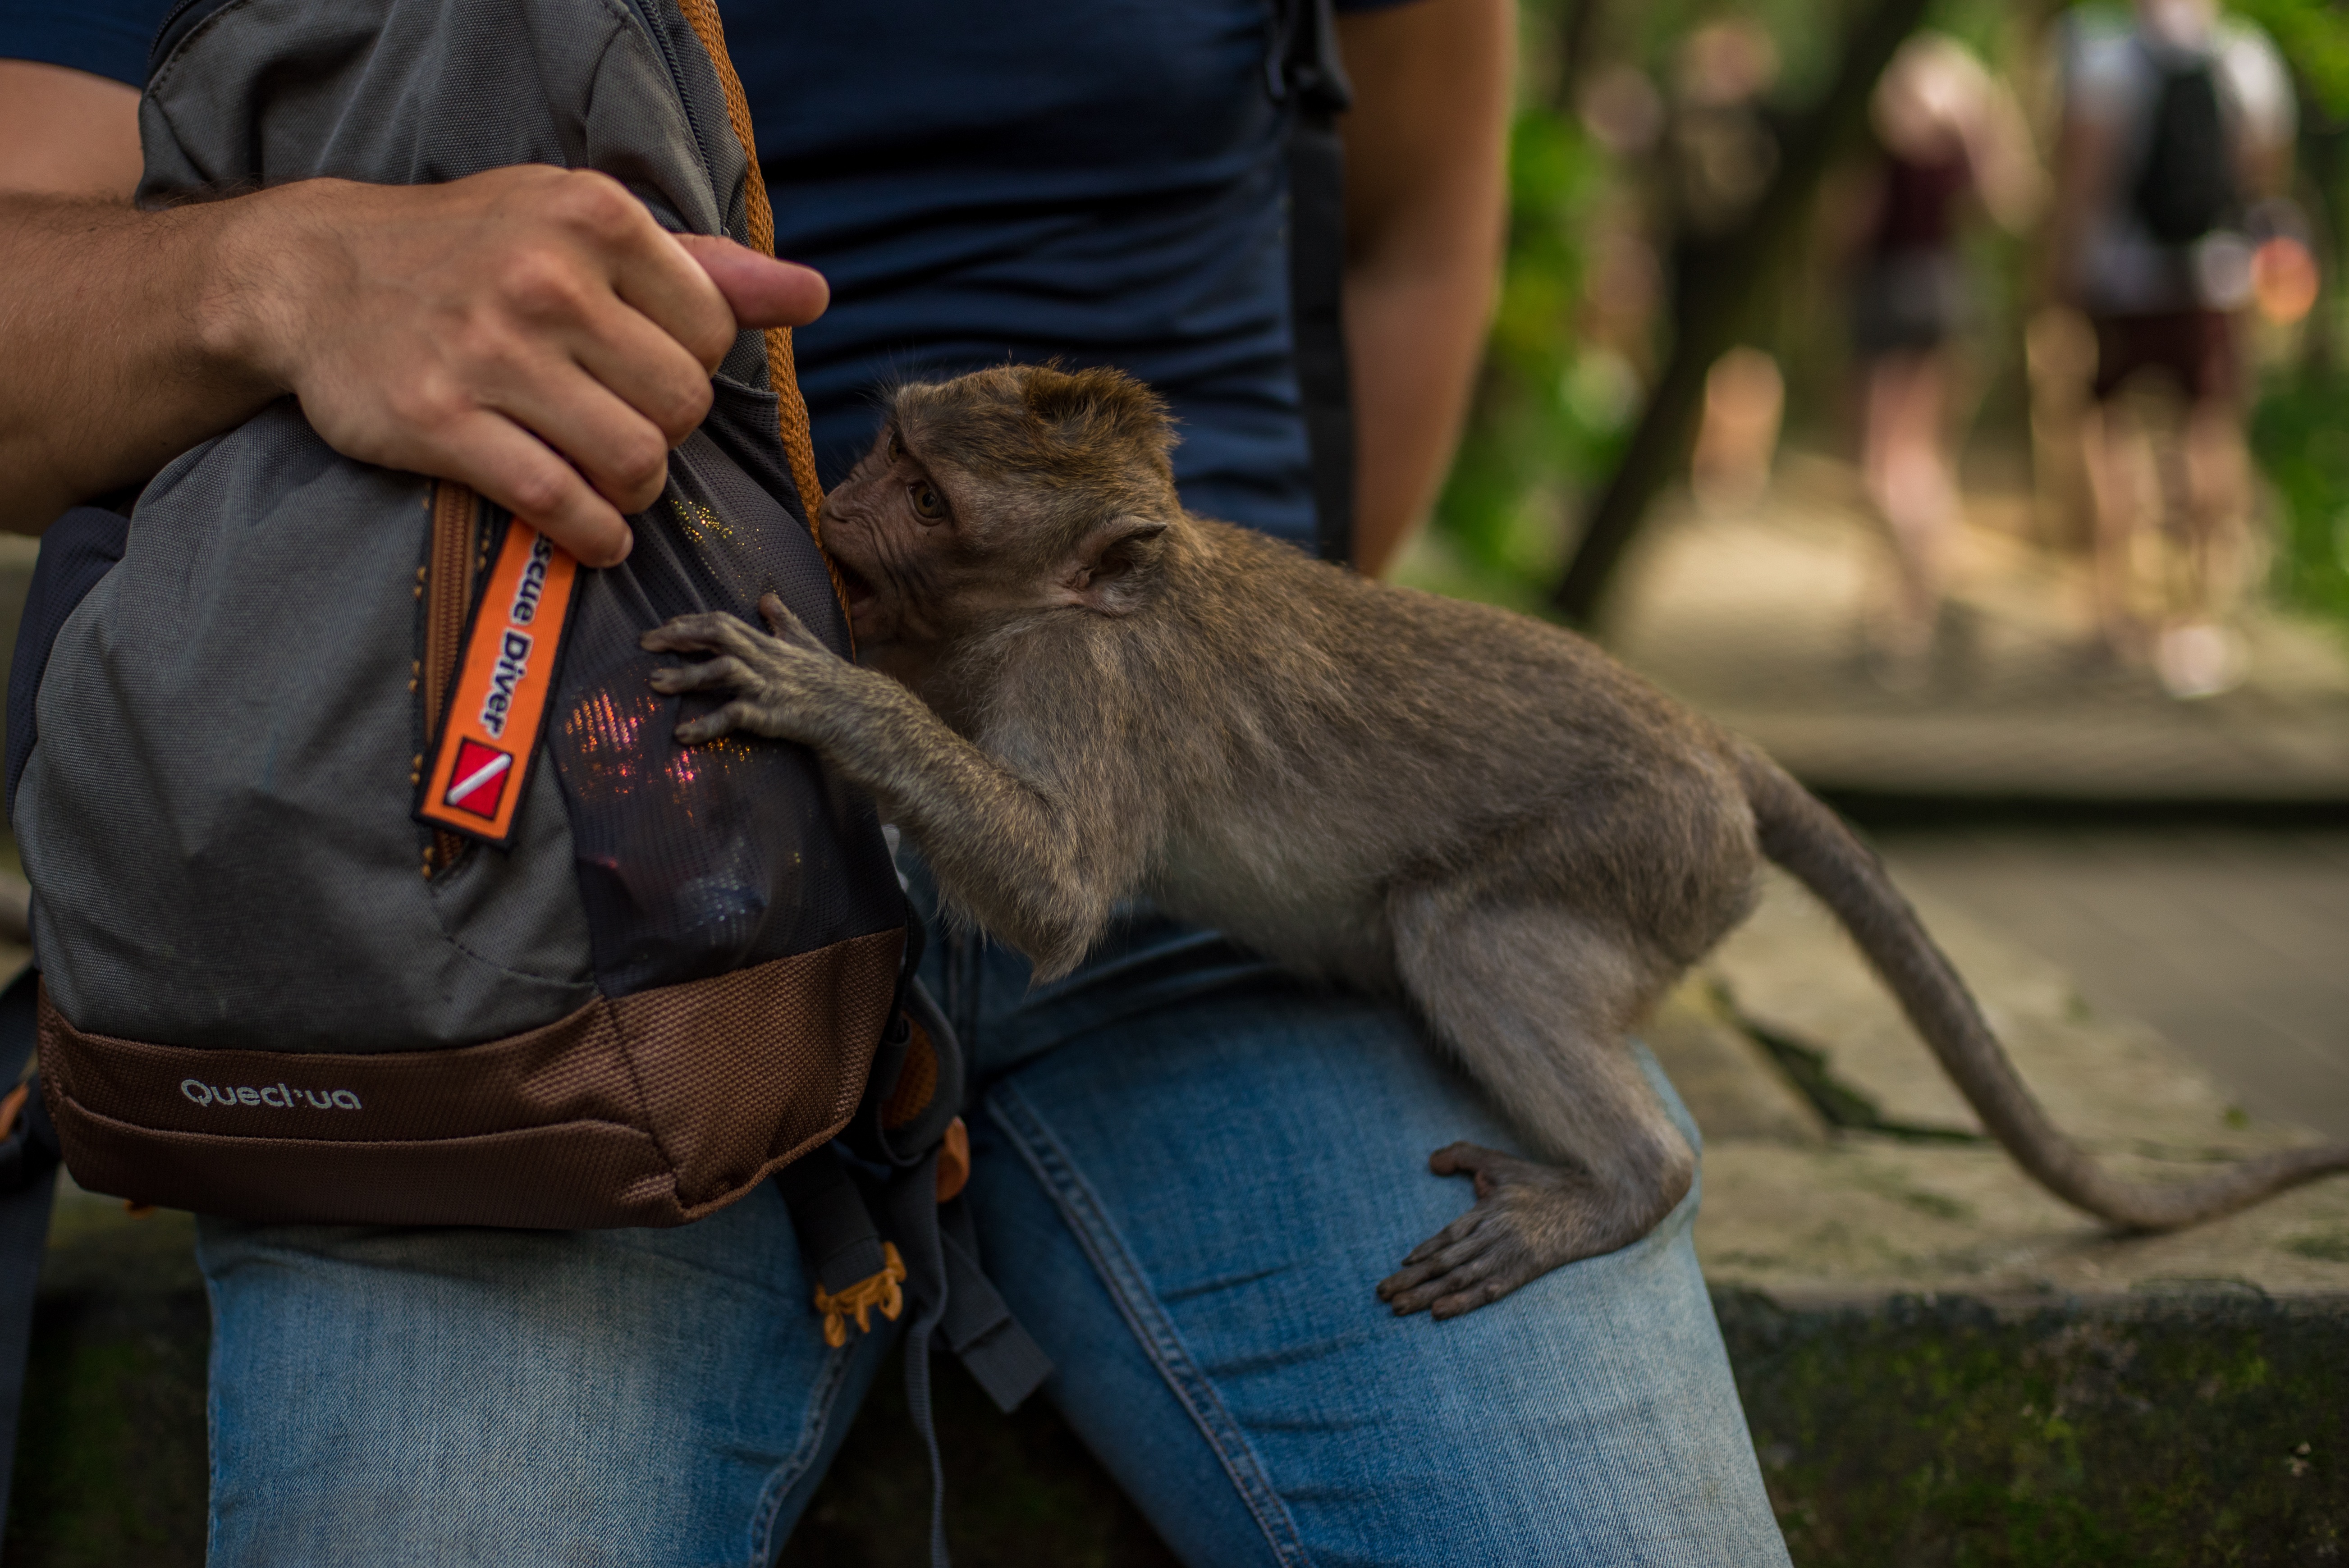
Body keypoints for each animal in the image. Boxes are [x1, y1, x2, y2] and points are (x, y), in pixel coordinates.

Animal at [643, 361, 2349, 1314]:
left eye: (928, 494)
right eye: (888, 457)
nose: (837, 508)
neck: (1058, 606)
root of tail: (1711, 740)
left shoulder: (1088, 682)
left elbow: (1059, 896)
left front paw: (827, 697)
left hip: (1650, 849)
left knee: (1457, 932)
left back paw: (1631, 1180)